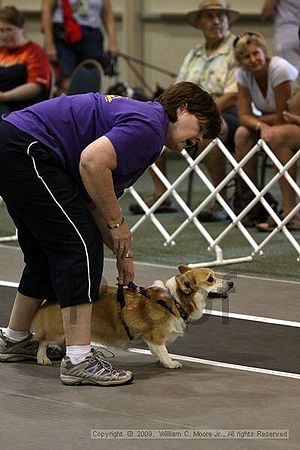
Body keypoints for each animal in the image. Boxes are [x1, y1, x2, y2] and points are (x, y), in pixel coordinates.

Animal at [32, 266, 234, 368]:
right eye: (210, 279)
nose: (232, 282)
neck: (174, 301)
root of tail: (55, 296)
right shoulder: (155, 337)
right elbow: (163, 350)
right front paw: (170, 363)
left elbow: (158, 352)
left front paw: (160, 361)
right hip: (56, 329)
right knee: (42, 340)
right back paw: (42, 358)